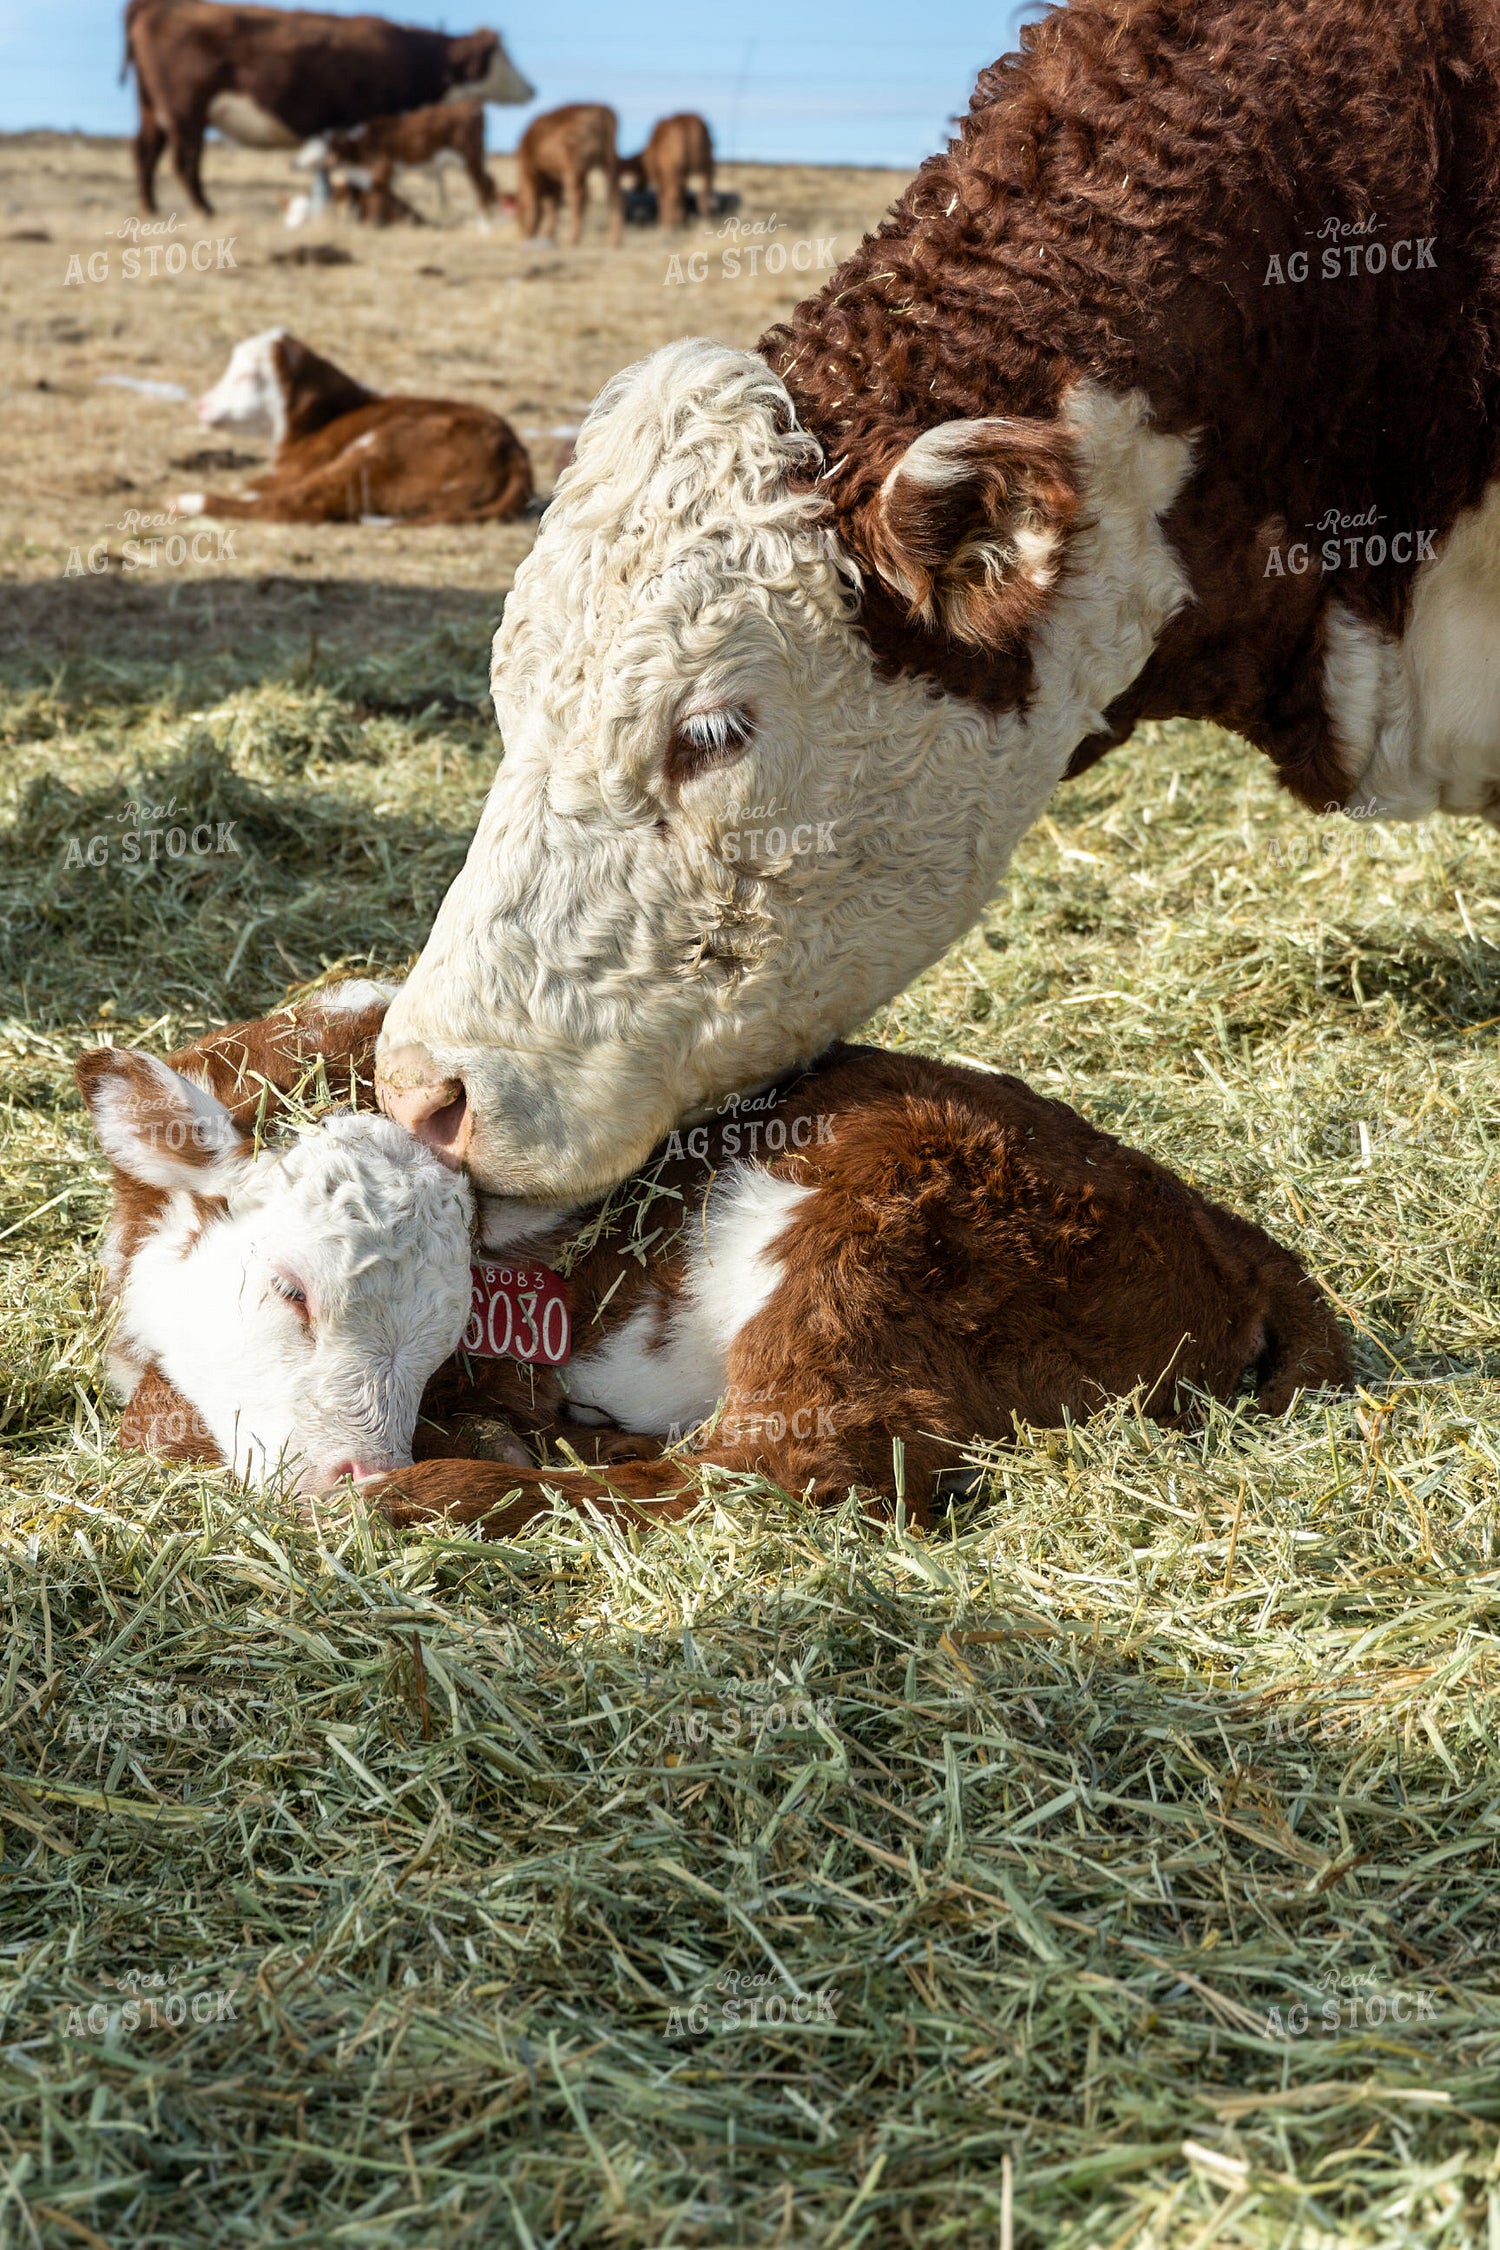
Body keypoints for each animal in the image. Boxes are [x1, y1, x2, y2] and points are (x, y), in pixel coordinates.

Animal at [176, 328, 534, 523]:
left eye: (248, 375)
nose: (200, 405)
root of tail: (513, 449)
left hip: (380, 454)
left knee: (297, 505)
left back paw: (189, 501)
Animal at [301, 101, 497, 222]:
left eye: (320, 146)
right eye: (309, 143)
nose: (297, 162)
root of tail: (469, 104)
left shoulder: (382, 170)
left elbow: (381, 196)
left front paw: (376, 222)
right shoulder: (387, 175)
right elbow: (390, 197)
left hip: (470, 157)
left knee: (482, 185)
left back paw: (485, 224)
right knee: (490, 181)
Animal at [515, 103, 624, 249]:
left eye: (520, 216)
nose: (523, 237)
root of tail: (601, 109)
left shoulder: (531, 171)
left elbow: (545, 204)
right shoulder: (554, 179)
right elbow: (552, 205)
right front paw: (548, 235)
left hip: (574, 167)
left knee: (578, 197)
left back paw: (572, 239)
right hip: (608, 161)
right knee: (614, 194)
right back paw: (615, 240)